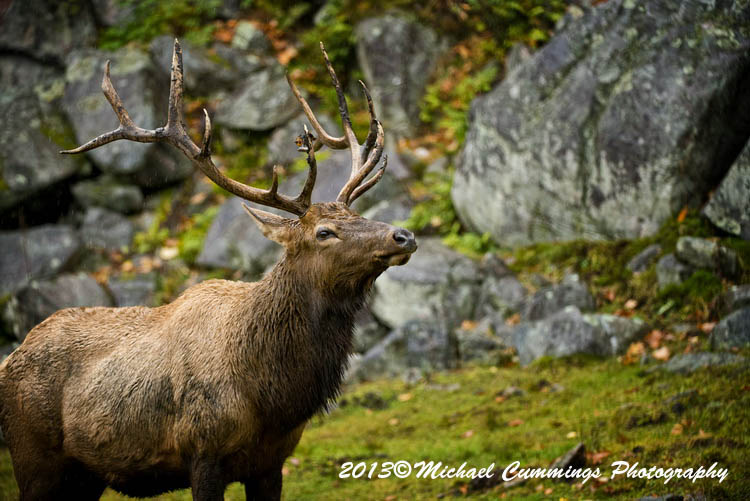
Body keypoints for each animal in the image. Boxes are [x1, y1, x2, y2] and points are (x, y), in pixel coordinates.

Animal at [0, 40, 416, 501]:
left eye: (357, 214)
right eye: (324, 232)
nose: (403, 236)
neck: (273, 397)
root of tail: (9, 360)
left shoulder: (272, 463)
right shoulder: (203, 452)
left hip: (84, 476)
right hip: (34, 459)